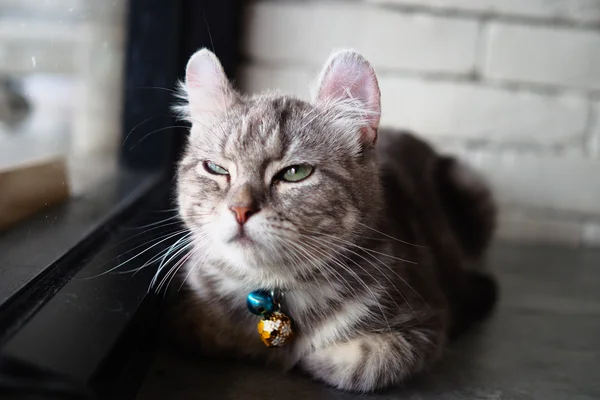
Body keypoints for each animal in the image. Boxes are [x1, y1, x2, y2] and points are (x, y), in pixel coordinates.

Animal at [166, 48, 500, 392]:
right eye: (216, 169)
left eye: (295, 172)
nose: (240, 210)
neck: (275, 287)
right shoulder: (187, 310)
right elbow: (205, 329)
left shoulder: (429, 317)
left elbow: (367, 361)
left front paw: (306, 357)